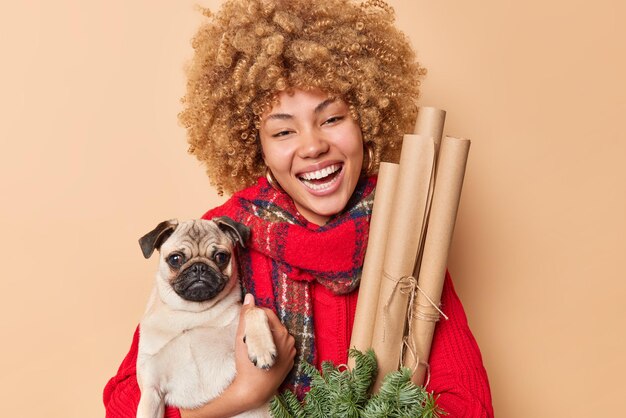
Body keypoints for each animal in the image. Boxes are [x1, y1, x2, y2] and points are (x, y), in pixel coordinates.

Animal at [135, 217, 274, 418]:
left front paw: (262, 350)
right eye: (175, 259)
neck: (192, 314)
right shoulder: (151, 390)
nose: (199, 267)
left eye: (221, 257)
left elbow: (253, 310)